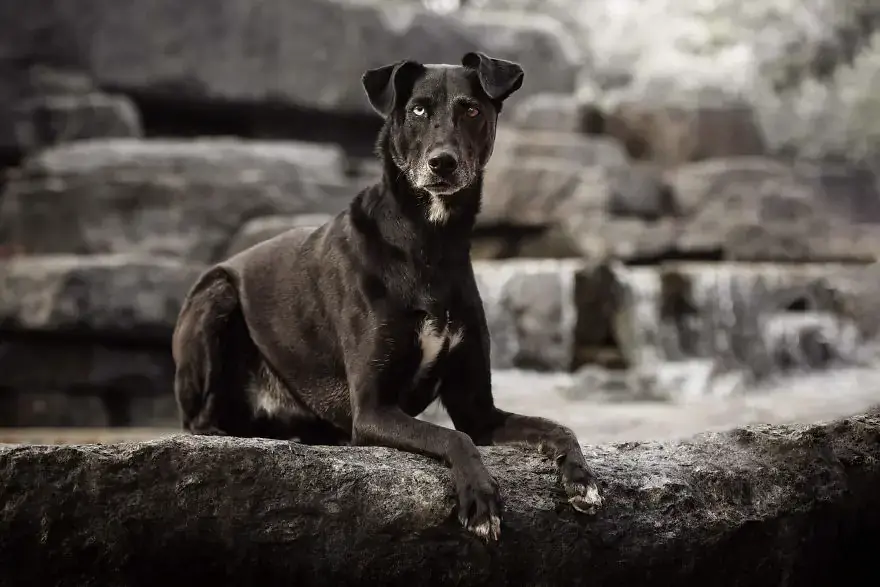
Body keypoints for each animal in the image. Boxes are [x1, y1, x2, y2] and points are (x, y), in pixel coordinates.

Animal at [172, 51, 600, 544]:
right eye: (417, 109)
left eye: (472, 110)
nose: (442, 163)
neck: (429, 244)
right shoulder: (373, 411)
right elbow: (452, 437)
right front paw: (479, 499)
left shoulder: (480, 412)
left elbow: (556, 426)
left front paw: (581, 478)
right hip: (216, 297)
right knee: (199, 424)